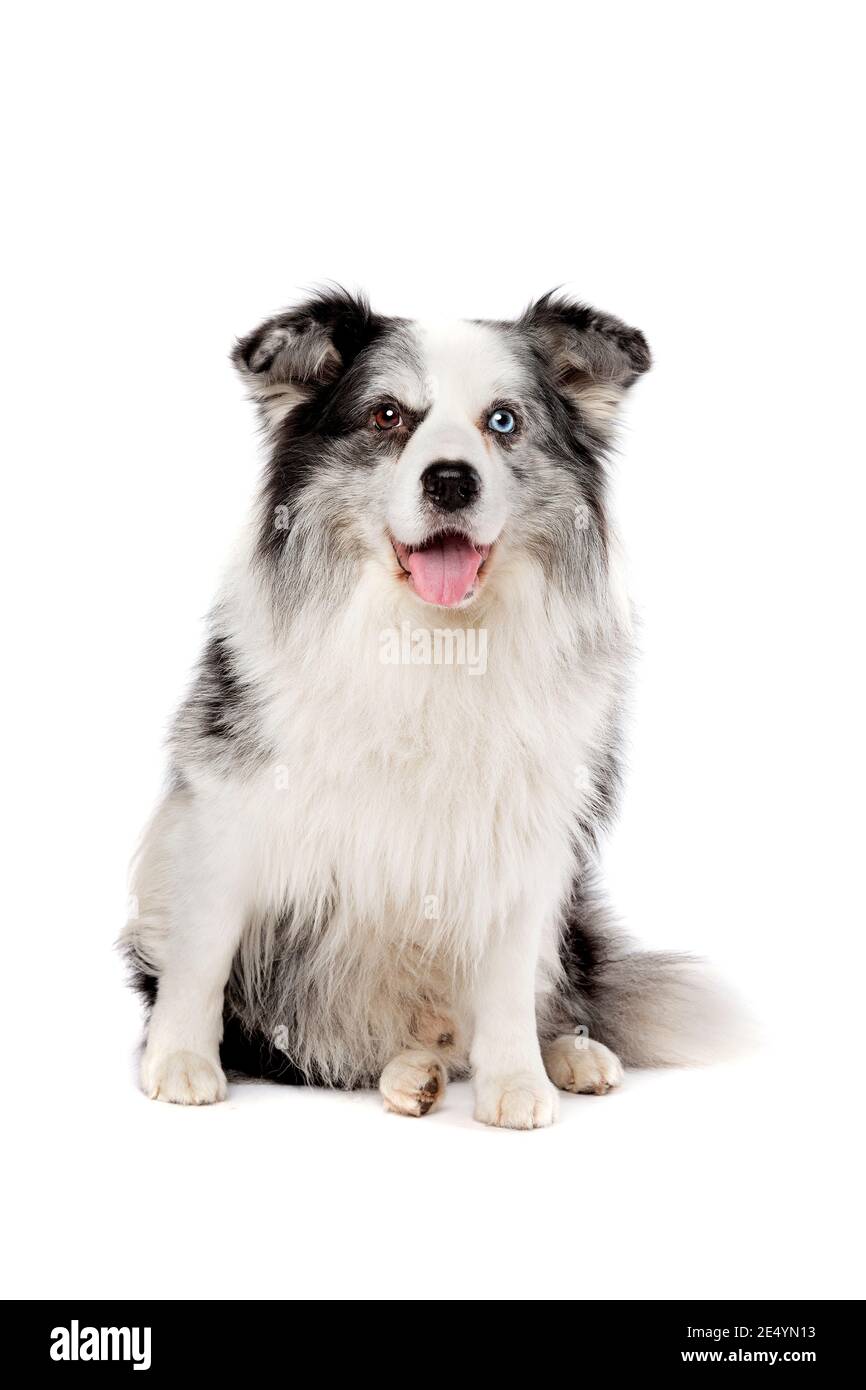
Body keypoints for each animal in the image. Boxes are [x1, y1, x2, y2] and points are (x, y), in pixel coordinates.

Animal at [122, 287, 733, 1123]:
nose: (450, 480)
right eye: (387, 416)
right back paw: (411, 1075)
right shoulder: (226, 796)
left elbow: (507, 984)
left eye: (502, 421)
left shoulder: (526, 830)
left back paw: (565, 1055)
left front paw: (518, 1083)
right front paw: (180, 1059)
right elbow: (203, 946)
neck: (432, 638)